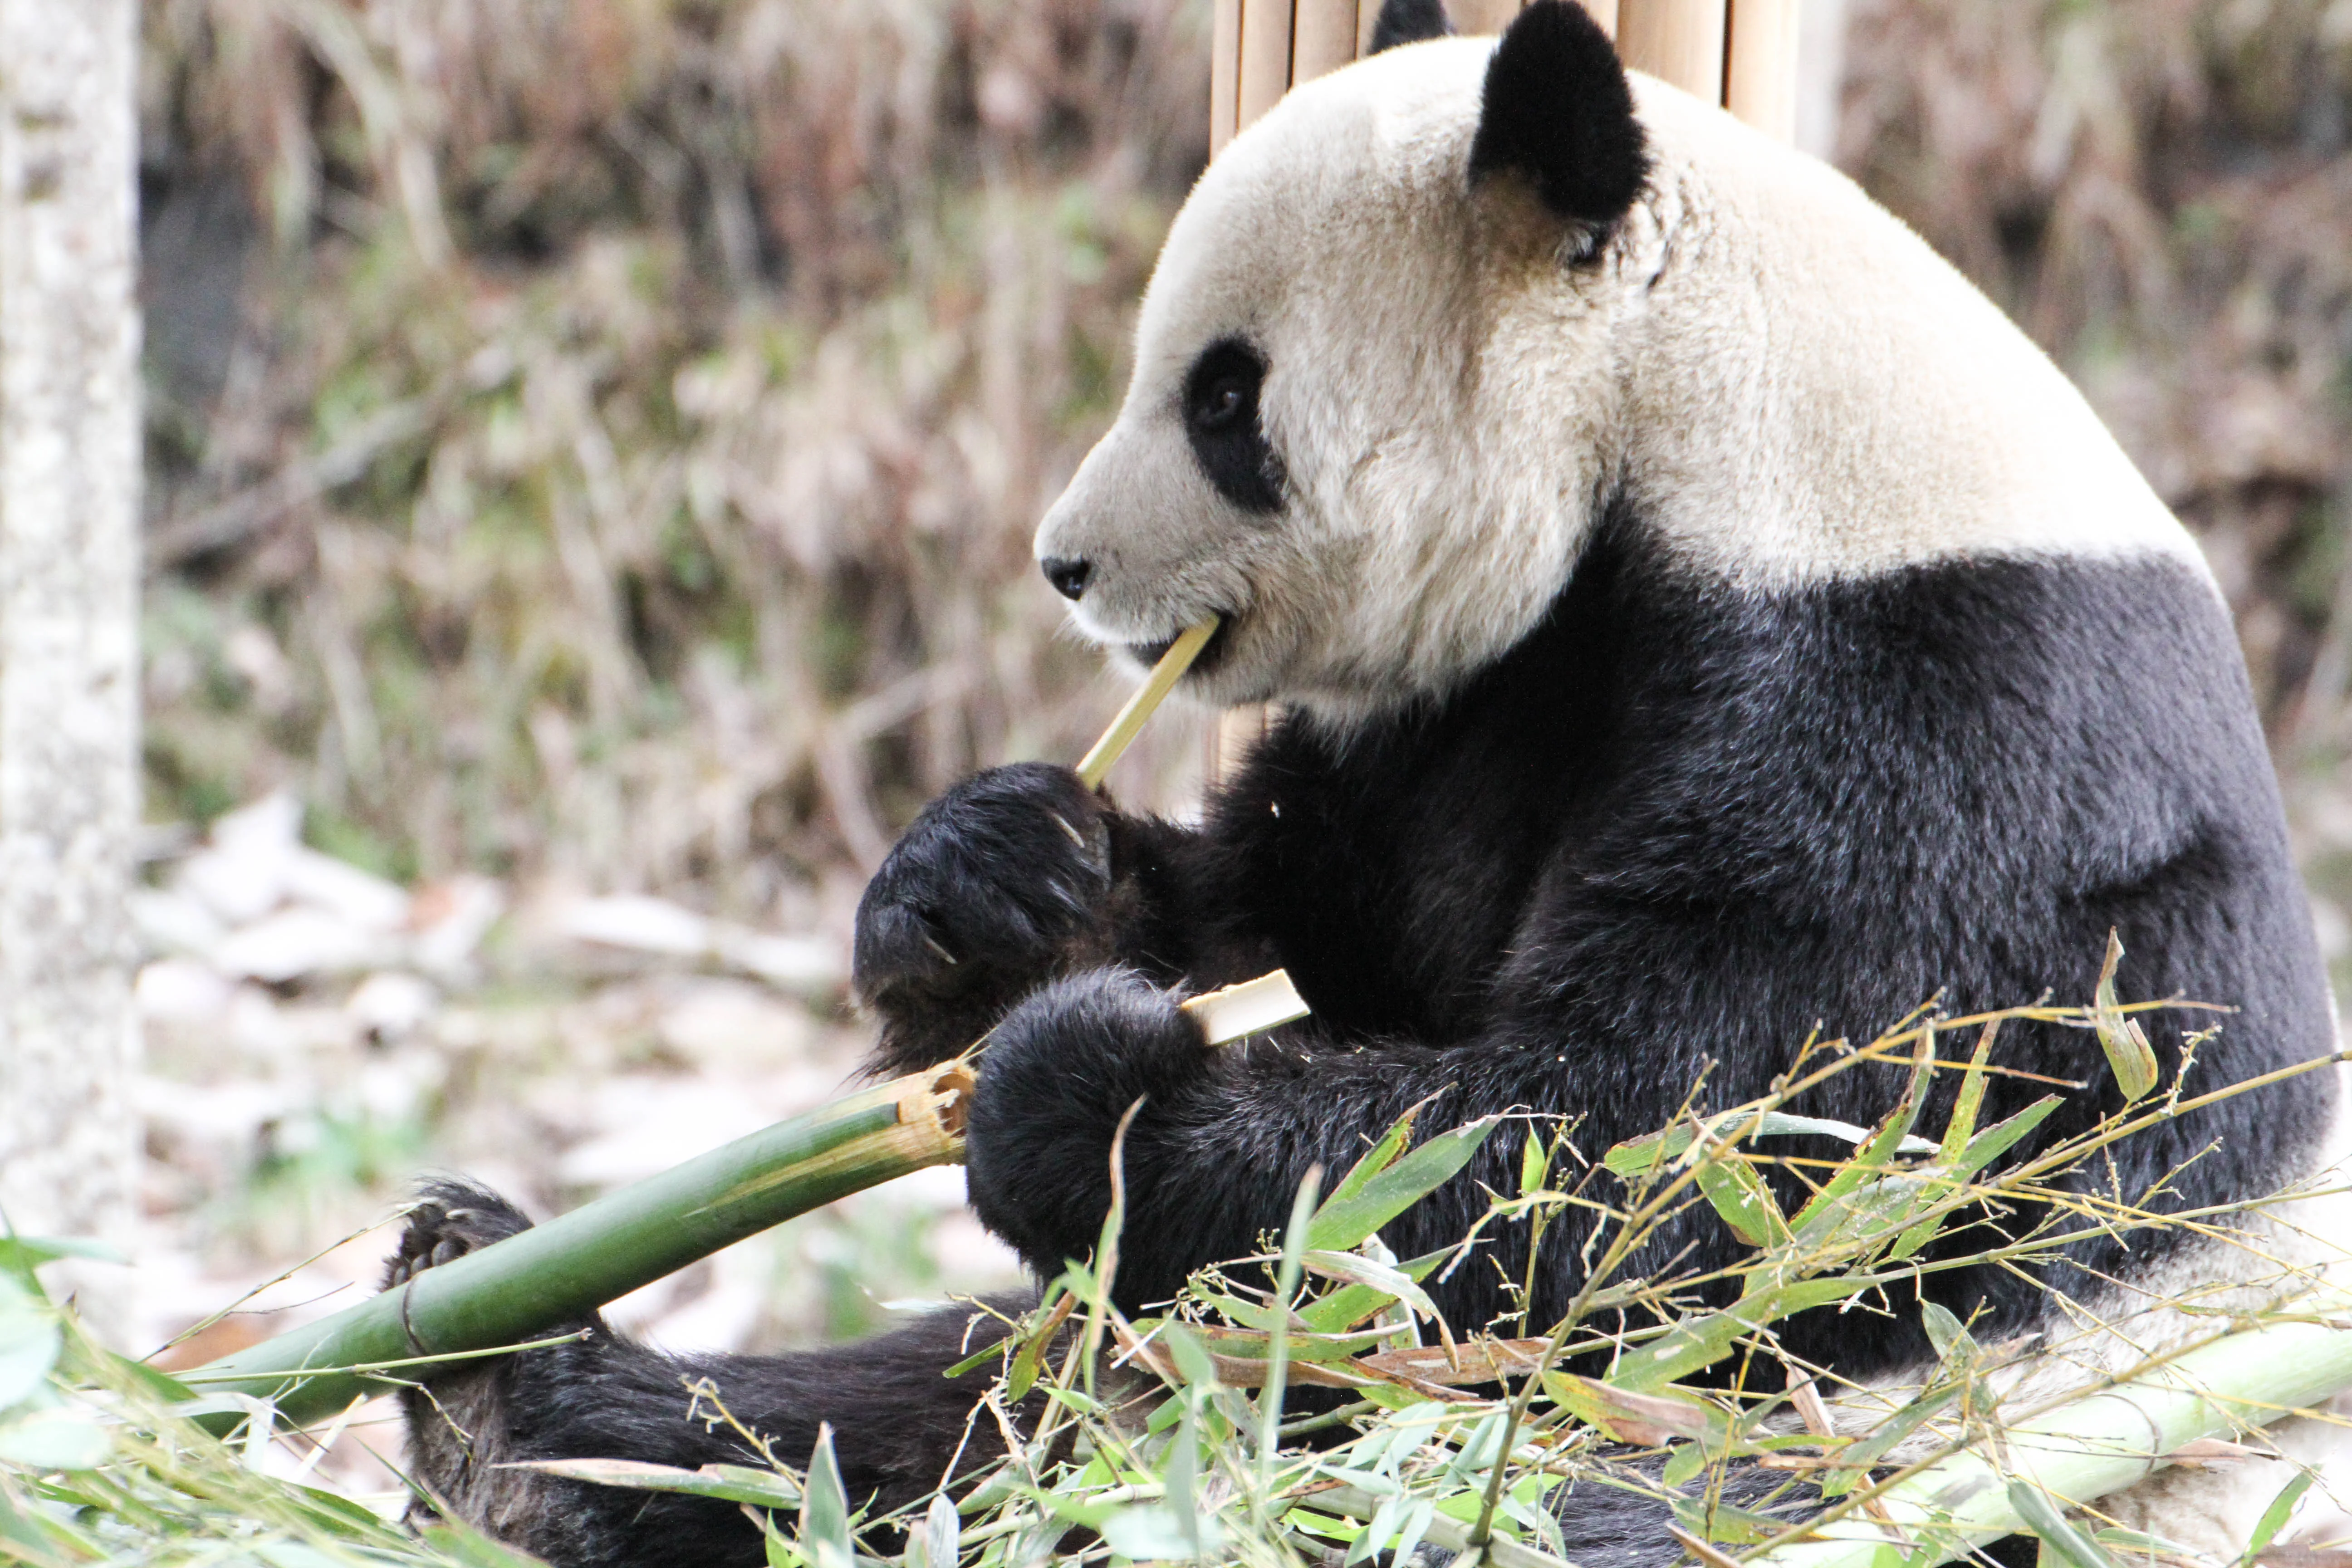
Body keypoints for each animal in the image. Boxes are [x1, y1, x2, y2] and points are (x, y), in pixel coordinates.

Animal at [386, 3, 2347, 1564]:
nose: (1063, 565)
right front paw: (990, 887)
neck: (1722, 418)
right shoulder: (1487, 697)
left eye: (1224, 399)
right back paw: (515, 1396)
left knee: (1548, 1485)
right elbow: (1303, 923)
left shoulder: (1934, 730)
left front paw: (1095, 1100)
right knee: (936, 1404)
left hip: (1919, 1447)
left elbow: (1657, 1160)